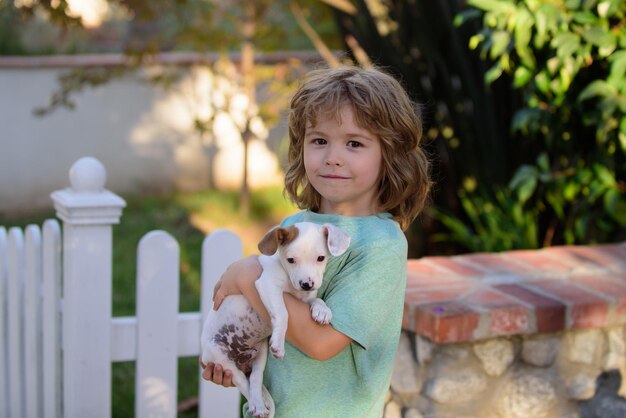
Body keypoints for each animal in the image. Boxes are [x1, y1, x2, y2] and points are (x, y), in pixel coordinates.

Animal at [200, 220, 348, 416]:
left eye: (321, 258)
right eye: (291, 260)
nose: (306, 284)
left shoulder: (304, 298)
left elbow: (316, 299)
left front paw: (322, 311)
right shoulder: (267, 285)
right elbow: (283, 313)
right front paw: (278, 342)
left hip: (260, 353)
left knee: (255, 379)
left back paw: (260, 402)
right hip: (220, 357)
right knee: (242, 382)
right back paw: (258, 405)